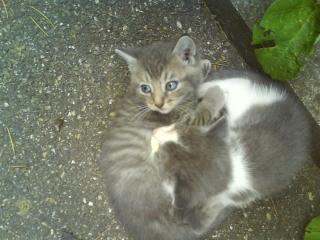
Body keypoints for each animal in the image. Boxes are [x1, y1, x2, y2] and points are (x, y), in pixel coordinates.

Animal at [99, 36, 312, 239]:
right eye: (145, 88)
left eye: (171, 85)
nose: (158, 104)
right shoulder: (189, 118)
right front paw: (204, 77)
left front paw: (200, 65)